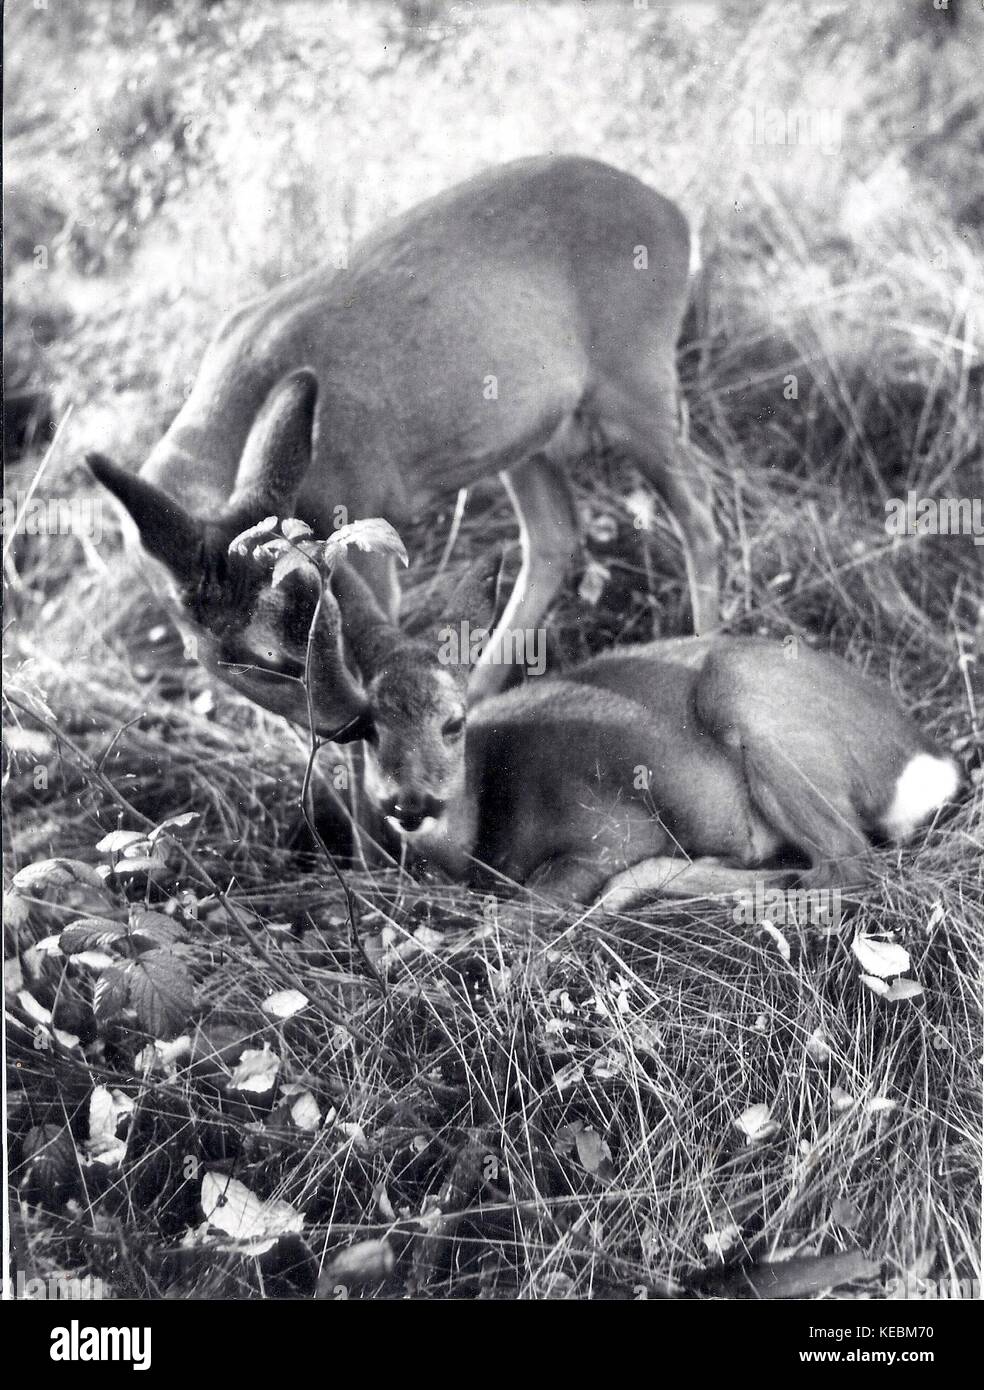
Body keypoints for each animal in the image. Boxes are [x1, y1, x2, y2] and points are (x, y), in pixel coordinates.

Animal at [88, 157, 711, 733]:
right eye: (263, 657)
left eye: (322, 625)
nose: (348, 723)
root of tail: (675, 215)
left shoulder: (361, 521)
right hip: (526, 435)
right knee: (553, 536)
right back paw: (477, 694)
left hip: (636, 373)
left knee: (695, 511)